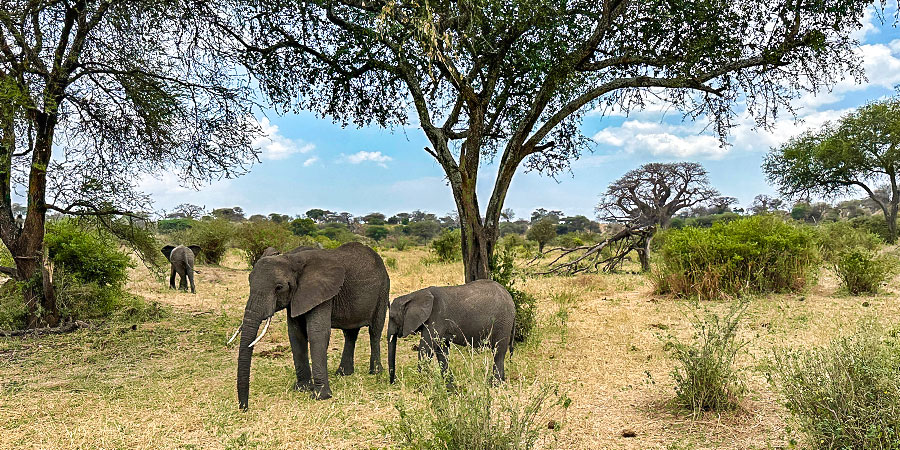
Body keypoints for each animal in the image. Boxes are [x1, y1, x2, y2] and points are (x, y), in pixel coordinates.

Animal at [234, 243, 388, 408]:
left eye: (279, 287)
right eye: (249, 281)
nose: (244, 407)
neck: (291, 258)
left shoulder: (323, 292)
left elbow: (317, 333)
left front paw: (320, 396)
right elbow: (295, 334)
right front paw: (302, 389)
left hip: (383, 290)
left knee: (375, 332)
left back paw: (375, 372)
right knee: (350, 334)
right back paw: (343, 373)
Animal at [384, 280, 512, 384]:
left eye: (392, 317)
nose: (393, 382)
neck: (413, 295)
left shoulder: (436, 318)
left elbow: (426, 348)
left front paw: (421, 384)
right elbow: (441, 350)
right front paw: (449, 384)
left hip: (502, 323)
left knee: (498, 352)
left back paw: (494, 384)